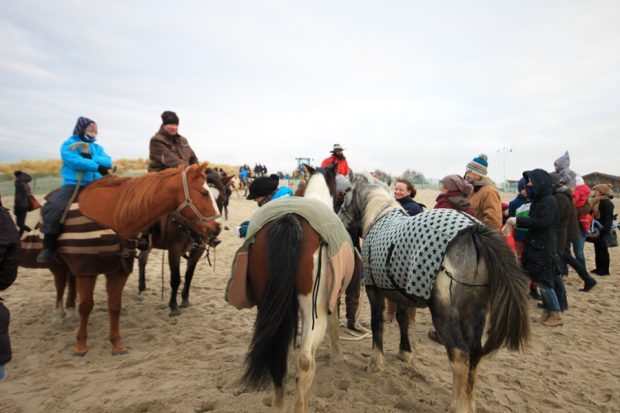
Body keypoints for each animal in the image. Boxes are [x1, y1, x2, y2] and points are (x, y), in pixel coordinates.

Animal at [137, 169, 231, 314]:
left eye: (222, 199)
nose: (214, 232)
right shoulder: (174, 250)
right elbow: (176, 278)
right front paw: (173, 305)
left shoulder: (198, 250)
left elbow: (189, 276)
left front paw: (185, 299)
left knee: (142, 258)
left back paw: (142, 287)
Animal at [231, 165, 354, 412]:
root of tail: (290, 219)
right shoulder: (331, 300)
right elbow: (335, 324)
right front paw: (338, 357)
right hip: (313, 313)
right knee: (306, 361)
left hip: (267, 303)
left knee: (276, 356)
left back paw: (278, 403)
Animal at [336, 174, 532, 412]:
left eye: (346, 192)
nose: (339, 219)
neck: (379, 216)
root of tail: (474, 233)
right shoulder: (402, 293)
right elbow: (402, 320)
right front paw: (405, 353)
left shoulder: (374, 291)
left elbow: (377, 324)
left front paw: (375, 363)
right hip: (475, 314)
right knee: (475, 355)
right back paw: (470, 403)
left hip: (444, 315)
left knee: (460, 355)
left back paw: (457, 405)